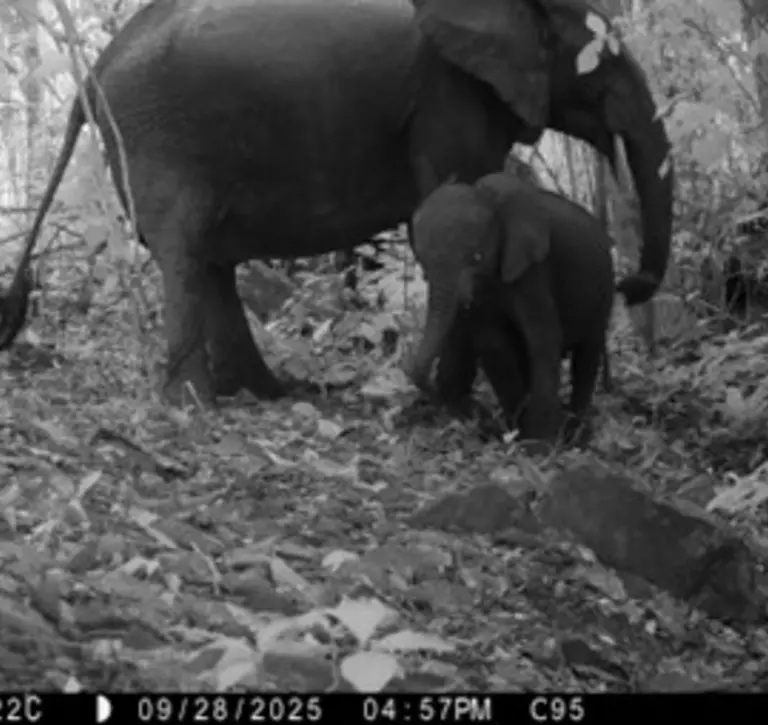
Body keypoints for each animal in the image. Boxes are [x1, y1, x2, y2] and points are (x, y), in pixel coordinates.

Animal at [0, 0, 673, 405]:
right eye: (604, 57)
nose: (633, 284)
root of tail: (92, 74)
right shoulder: (447, 94)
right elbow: (448, 205)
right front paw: (452, 404)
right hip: (159, 136)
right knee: (186, 253)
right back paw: (197, 404)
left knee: (209, 259)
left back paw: (271, 393)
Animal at [408, 172, 616, 441]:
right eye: (421, 263)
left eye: (476, 257)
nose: (480, 414)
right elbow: (495, 344)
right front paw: (518, 431)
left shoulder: (534, 269)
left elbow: (543, 339)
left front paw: (540, 441)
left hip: (604, 287)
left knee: (587, 353)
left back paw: (577, 432)